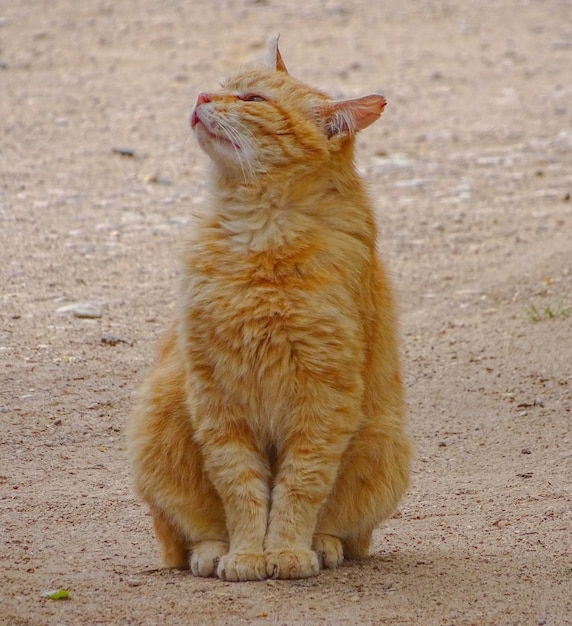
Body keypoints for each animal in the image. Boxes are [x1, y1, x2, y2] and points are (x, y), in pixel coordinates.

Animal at [127, 41, 408, 580]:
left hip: (384, 442)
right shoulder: (217, 397)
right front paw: (245, 554)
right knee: (186, 535)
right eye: (224, 84)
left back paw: (322, 545)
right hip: (162, 415)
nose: (202, 95)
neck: (259, 232)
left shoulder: (324, 399)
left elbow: (300, 485)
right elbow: (241, 488)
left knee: (348, 532)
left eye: (253, 98)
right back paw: (212, 552)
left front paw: (287, 550)